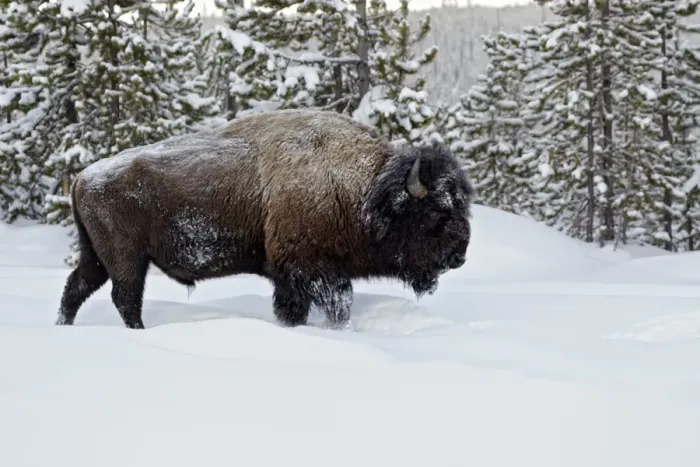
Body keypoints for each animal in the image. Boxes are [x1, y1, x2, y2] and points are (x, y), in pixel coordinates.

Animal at [56, 109, 474, 330]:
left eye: (463, 205)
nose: (459, 256)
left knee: (77, 288)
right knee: (125, 298)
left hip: (98, 257)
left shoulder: (289, 277)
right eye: (437, 211)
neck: (365, 188)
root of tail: (81, 177)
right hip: (127, 259)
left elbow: (292, 309)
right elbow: (339, 302)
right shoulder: (311, 269)